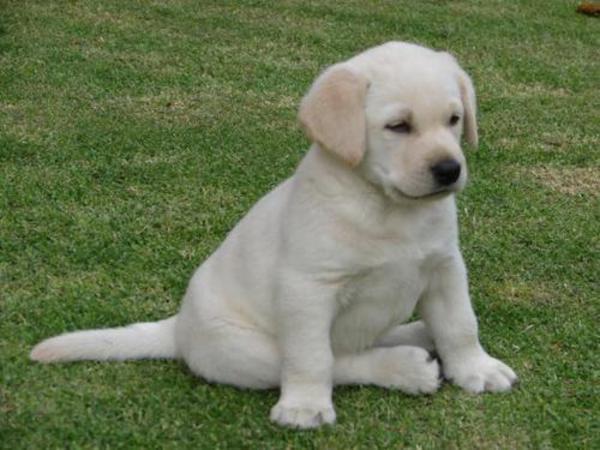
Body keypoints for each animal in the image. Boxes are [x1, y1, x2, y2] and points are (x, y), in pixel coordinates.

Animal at [31, 41, 516, 428]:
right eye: (398, 126)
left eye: (454, 119)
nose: (449, 169)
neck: (388, 209)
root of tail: (178, 327)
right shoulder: (308, 289)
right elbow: (313, 357)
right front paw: (304, 406)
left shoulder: (445, 269)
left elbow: (460, 325)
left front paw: (477, 369)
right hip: (245, 348)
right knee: (339, 360)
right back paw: (405, 367)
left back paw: (416, 335)